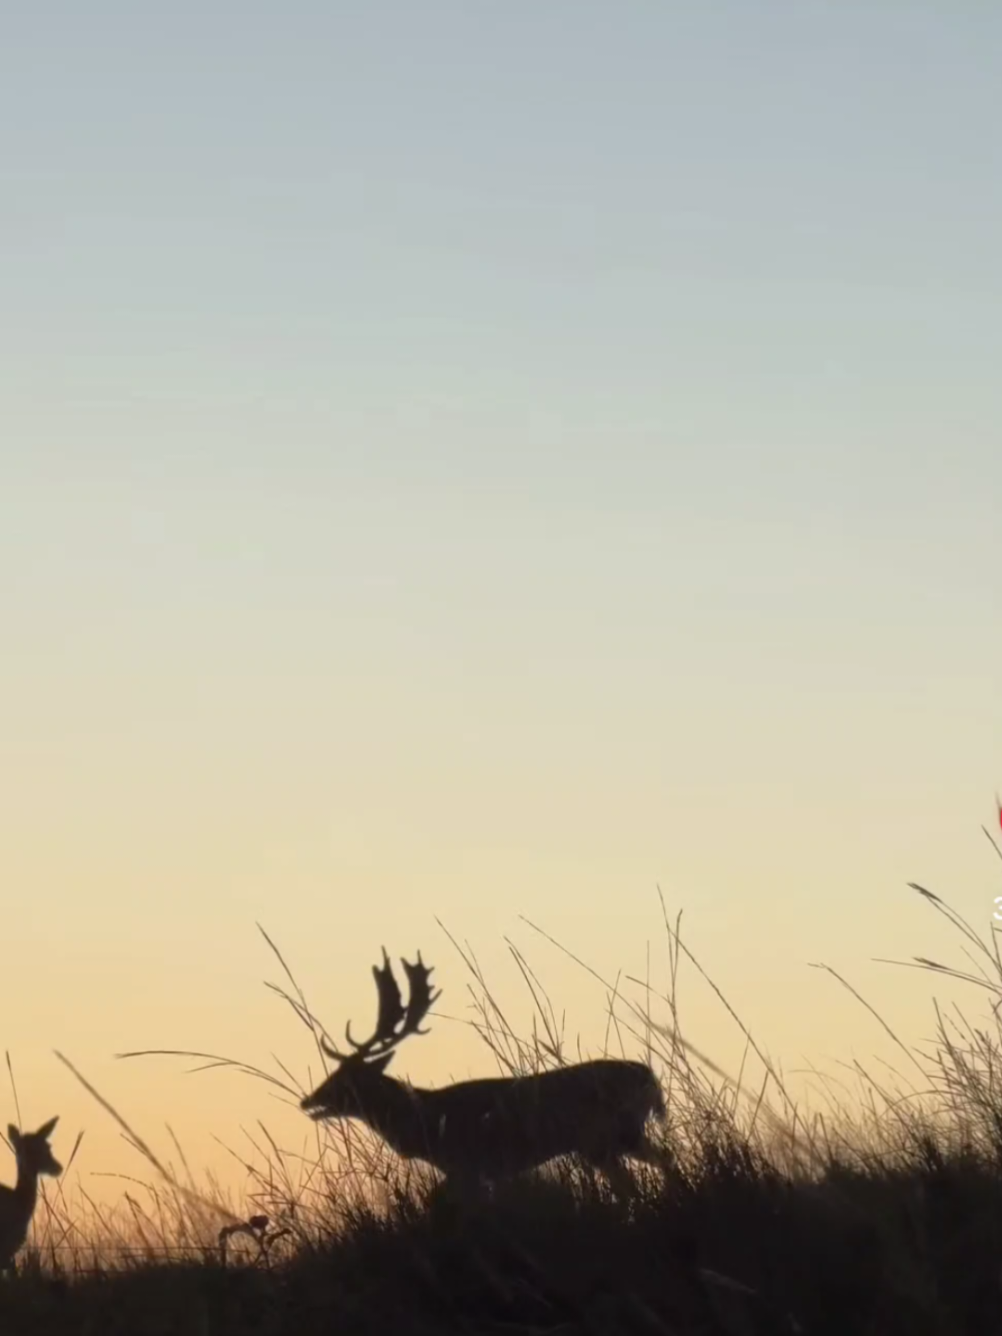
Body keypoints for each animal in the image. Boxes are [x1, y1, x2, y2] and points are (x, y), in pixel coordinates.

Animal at [300, 950, 667, 1196]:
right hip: (607, 1142)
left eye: (346, 1080)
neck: (425, 1121)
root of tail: (650, 1076)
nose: (307, 1100)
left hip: (611, 1134)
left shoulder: (471, 1163)